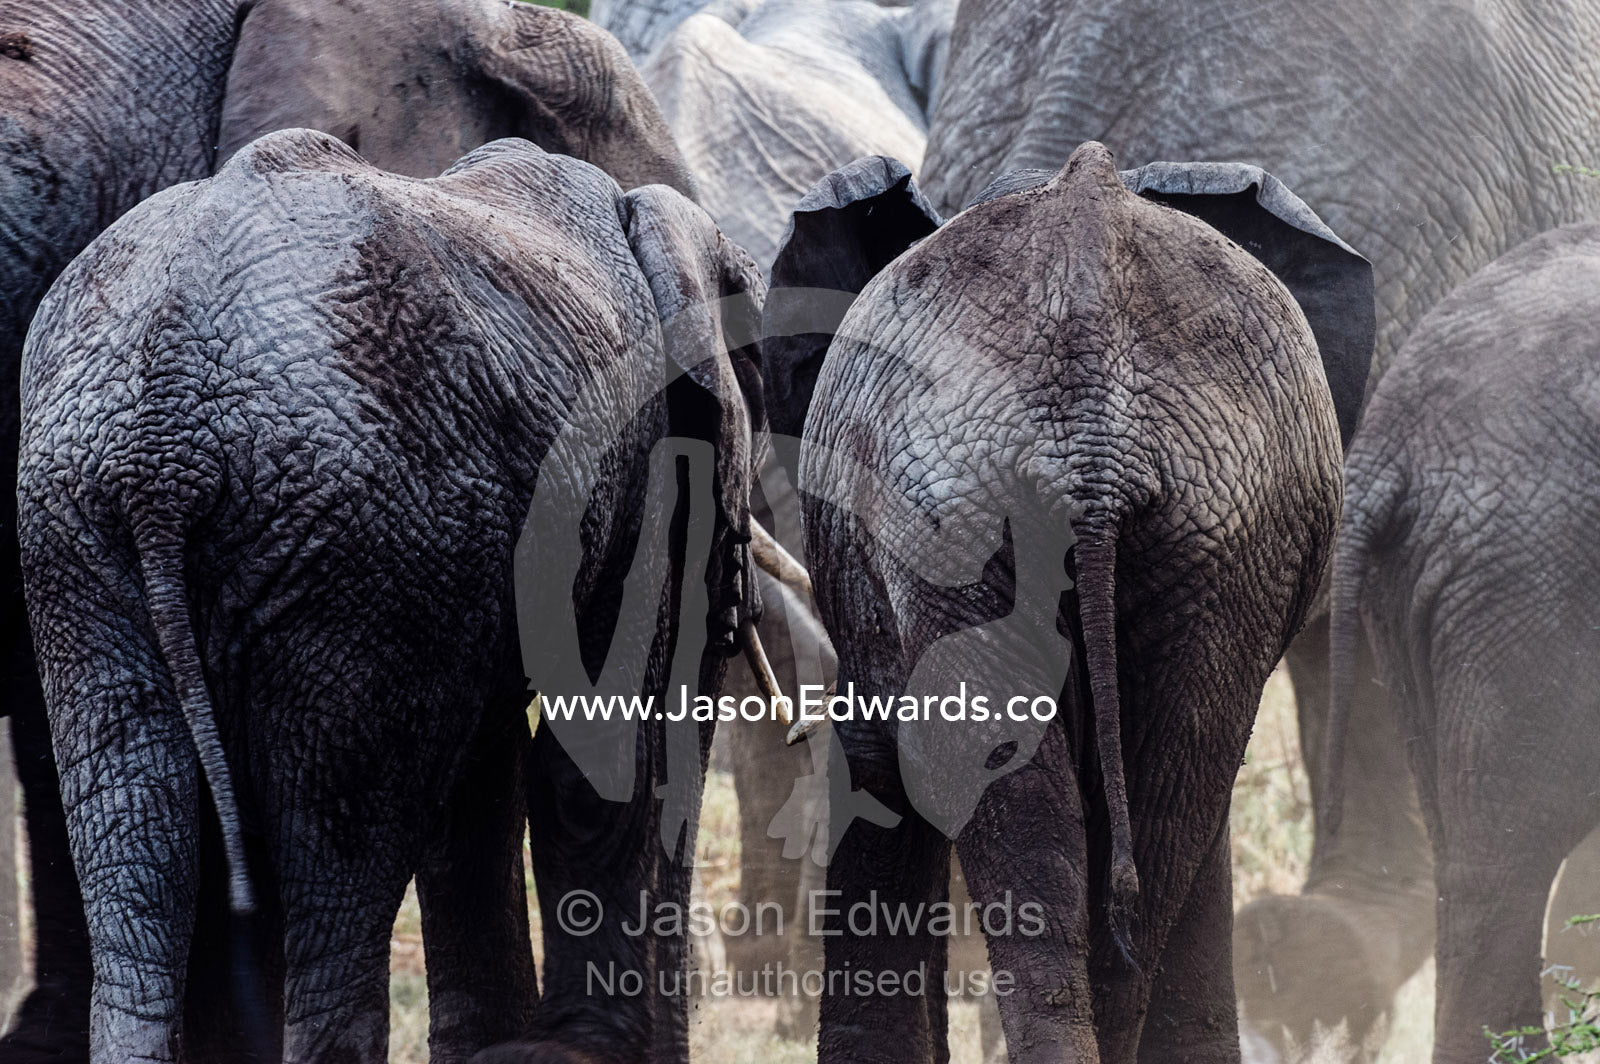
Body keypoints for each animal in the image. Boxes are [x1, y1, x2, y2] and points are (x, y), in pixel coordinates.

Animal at [760, 145, 1372, 1063]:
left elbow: (875, 766)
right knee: (1160, 811)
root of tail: (1096, 443)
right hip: (1217, 534)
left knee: (1035, 826)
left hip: (977, 515)